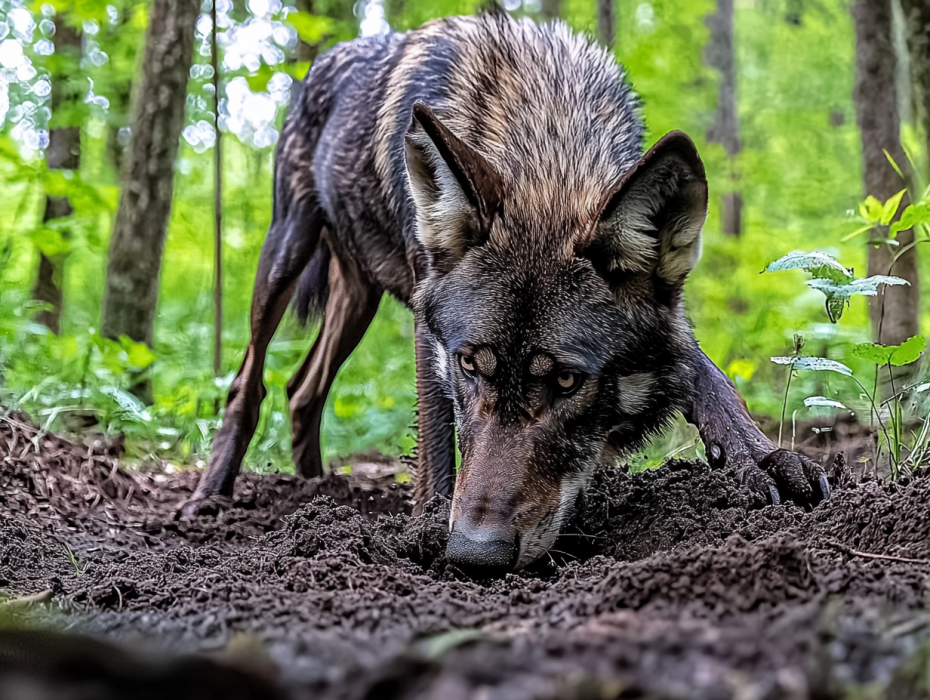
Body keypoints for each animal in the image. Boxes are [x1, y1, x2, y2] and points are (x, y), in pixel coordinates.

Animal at [181, 11, 830, 575]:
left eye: (567, 380)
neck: (546, 140)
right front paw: (427, 525)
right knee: (249, 382)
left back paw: (318, 487)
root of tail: (325, 58)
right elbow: (437, 429)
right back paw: (210, 498)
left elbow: (705, 371)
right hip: (285, 252)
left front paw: (766, 458)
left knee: (301, 388)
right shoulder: (430, 325)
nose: (476, 553)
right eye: (471, 364)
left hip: (357, 300)